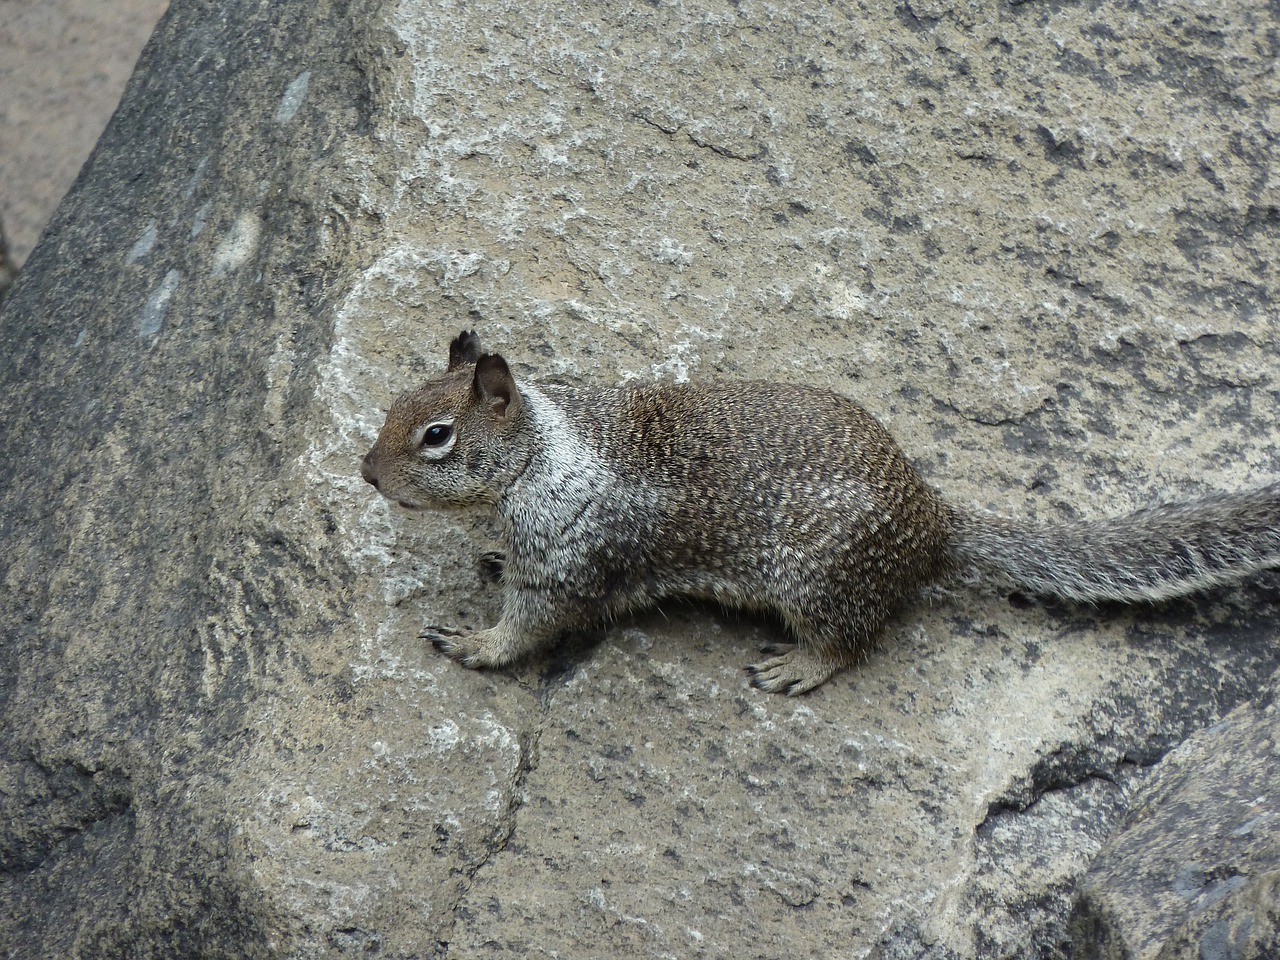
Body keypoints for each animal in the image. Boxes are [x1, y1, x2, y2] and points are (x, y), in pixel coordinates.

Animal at [358, 335, 1280, 696]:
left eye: (437, 436)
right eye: (395, 403)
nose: (364, 473)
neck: (542, 457)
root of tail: (934, 521)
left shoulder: (572, 566)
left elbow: (529, 629)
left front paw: (474, 642)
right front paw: (488, 561)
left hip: (820, 582)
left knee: (853, 640)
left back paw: (799, 667)